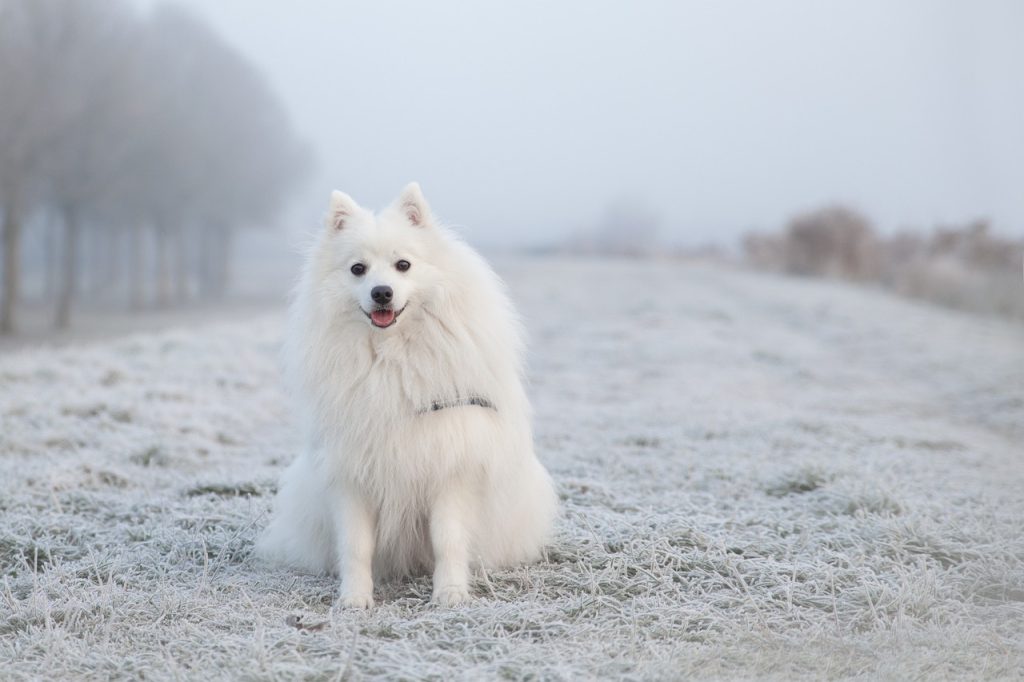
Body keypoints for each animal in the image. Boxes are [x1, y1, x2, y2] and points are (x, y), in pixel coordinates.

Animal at [256, 182, 561, 606]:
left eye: (403, 265)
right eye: (358, 269)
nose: (381, 292)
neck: (391, 358)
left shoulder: (451, 467)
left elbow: (448, 539)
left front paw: (450, 593)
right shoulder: (351, 474)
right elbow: (355, 545)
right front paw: (354, 599)